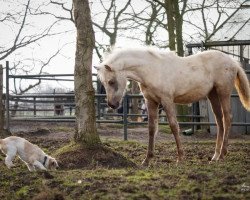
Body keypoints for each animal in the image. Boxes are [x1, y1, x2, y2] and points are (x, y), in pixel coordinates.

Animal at [94, 47, 250, 166]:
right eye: (104, 83)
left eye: (111, 81)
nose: (112, 104)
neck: (152, 69)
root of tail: (233, 62)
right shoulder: (151, 102)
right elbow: (151, 129)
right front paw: (147, 160)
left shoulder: (167, 101)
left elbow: (174, 126)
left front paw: (180, 158)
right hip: (213, 95)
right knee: (219, 121)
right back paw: (215, 156)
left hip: (223, 92)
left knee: (227, 118)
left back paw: (223, 154)